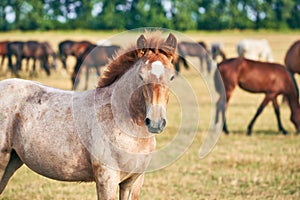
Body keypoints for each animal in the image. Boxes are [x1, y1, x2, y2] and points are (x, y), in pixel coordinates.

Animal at [0, 32, 177, 199]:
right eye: (140, 76)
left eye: (172, 77)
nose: (155, 122)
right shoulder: (107, 179)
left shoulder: (133, 181)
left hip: (12, 161)